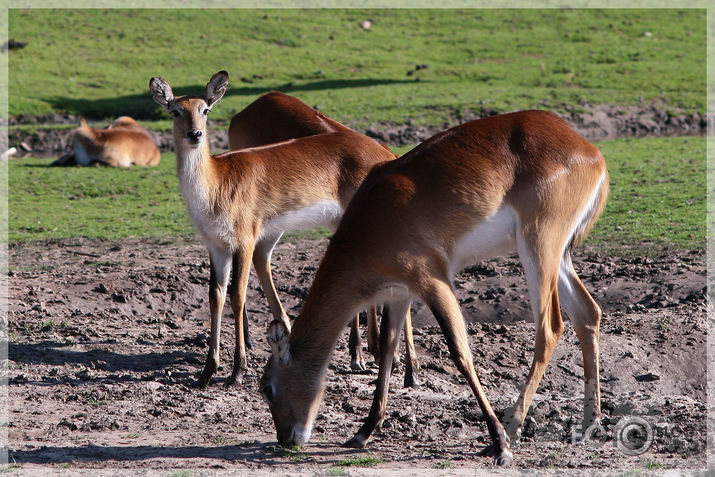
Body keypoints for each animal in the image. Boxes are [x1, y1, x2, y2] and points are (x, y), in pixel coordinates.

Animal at [260, 109, 608, 464]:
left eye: (267, 388)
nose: (287, 439)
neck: (370, 226)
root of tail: (590, 151)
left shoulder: (433, 279)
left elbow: (459, 351)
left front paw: (500, 444)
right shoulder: (399, 292)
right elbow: (387, 347)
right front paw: (363, 431)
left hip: (538, 245)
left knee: (550, 327)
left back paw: (512, 429)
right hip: (558, 254)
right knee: (588, 313)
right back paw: (589, 424)